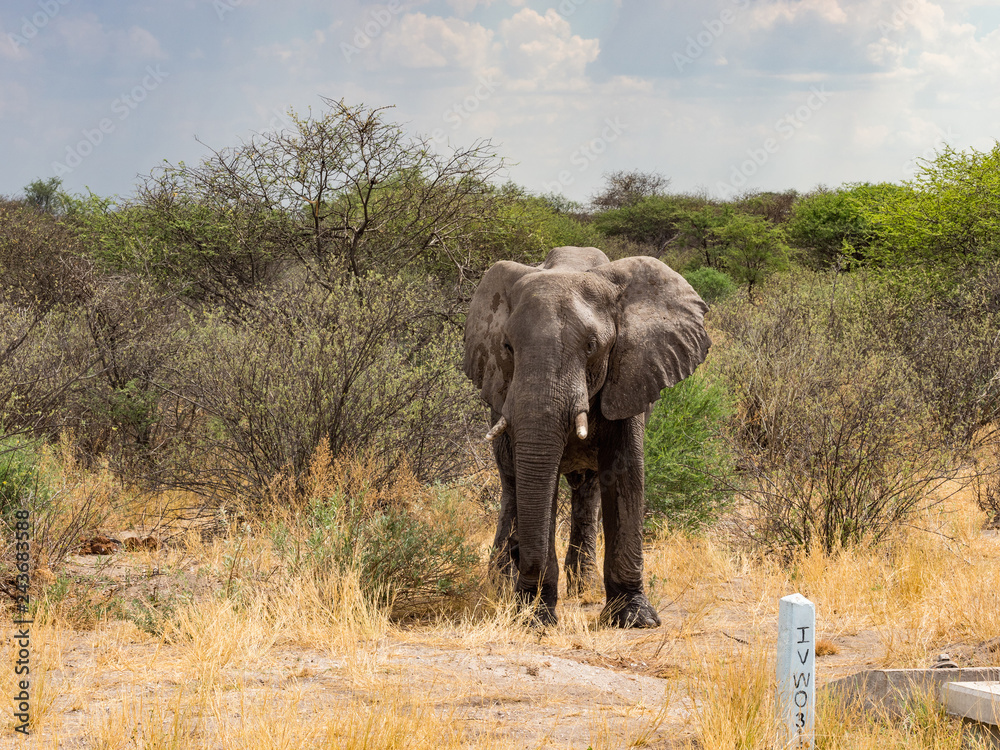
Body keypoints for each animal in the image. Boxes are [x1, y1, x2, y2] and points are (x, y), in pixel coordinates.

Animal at [463, 246, 711, 627]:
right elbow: (536, 480)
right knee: (511, 486)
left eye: (592, 346)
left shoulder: (629, 376)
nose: (529, 598)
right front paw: (536, 616)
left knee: (588, 488)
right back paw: (502, 583)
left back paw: (580, 585)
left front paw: (635, 619)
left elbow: (625, 473)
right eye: (507, 346)